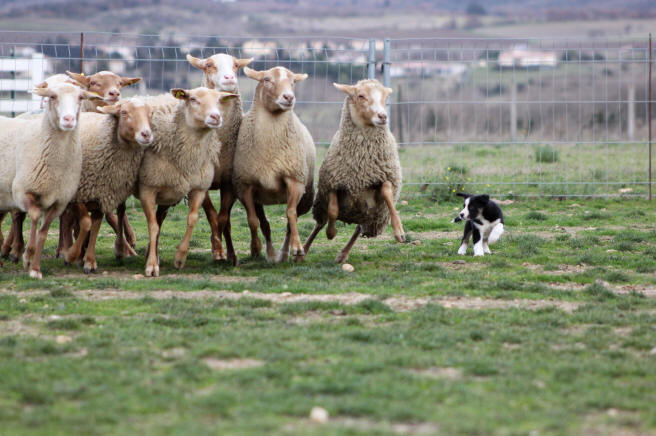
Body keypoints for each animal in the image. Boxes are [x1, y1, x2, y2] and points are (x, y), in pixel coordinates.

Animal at [0, 83, 100, 278]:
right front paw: (28, 256)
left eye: (80, 98)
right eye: (52, 97)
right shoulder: (22, 191)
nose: (69, 119)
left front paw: (35, 268)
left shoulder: (58, 202)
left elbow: (43, 233)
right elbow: (34, 215)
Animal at [138, 86, 238, 276]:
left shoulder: (199, 188)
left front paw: (180, 258)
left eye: (219, 100)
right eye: (193, 99)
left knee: (160, 218)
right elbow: (152, 226)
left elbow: (192, 219)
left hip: (169, 193)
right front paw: (151, 265)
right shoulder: (147, 188)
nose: (216, 117)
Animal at [188, 52, 255, 262]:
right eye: (209, 65)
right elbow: (211, 215)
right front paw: (217, 250)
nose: (229, 78)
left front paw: (228, 253)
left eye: (236, 65)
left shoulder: (229, 183)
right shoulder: (201, 183)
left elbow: (223, 217)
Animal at [302, 78, 404, 262]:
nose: (383, 116)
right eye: (361, 96)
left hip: (368, 216)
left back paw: (343, 254)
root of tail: (352, 217)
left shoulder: (383, 176)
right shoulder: (333, 184)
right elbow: (333, 211)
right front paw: (331, 233)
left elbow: (387, 193)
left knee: (358, 229)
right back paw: (303, 250)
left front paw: (399, 231)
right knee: (319, 224)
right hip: (322, 203)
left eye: (386, 97)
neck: (362, 163)